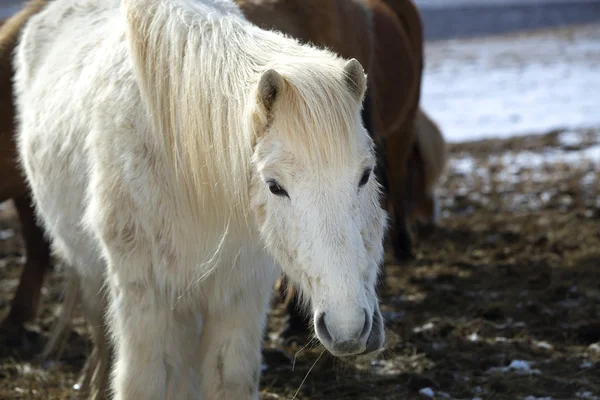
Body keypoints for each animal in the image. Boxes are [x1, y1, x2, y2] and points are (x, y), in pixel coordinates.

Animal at [15, 0, 390, 398]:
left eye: (365, 174)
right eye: (274, 186)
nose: (349, 328)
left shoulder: (240, 296)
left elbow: (229, 379)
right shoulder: (146, 299)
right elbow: (142, 381)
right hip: (90, 276)